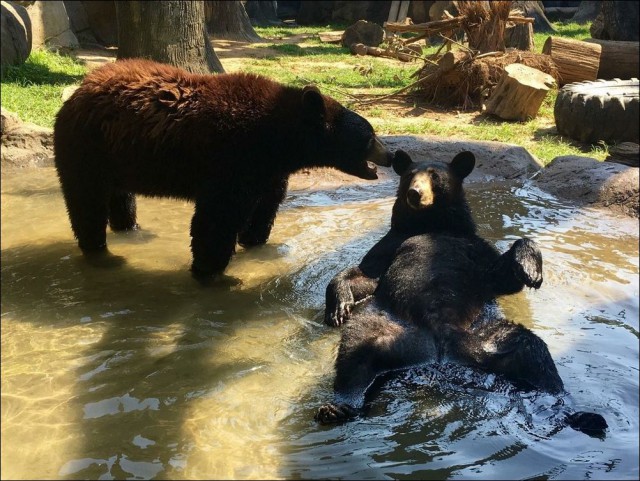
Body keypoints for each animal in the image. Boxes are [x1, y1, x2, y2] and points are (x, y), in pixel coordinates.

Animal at [52, 59, 392, 278]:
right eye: (370, 135)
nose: (390, 155)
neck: (279, 138)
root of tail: (76, 91)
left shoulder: (267, 169)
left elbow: (264, 206)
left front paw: (253, 242)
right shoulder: (232, 156)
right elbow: (218, 216)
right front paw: (210, 270)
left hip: (117, 155)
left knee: (120, 197)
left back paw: (132, 229)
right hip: (85, 149)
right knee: (86, 203)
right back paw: (101, 253)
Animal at [318, 152, 608, 436]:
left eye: (435, 176)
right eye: (410, 175)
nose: (414, 193)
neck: (432, 225)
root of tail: (440, 352)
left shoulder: (472, 249)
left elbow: (500, 277)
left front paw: (530, 270)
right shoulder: (392, 244)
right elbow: (366, 274)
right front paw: (339, 306)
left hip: (489, 336)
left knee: (536, 357)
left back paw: (580, 414)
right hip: (387, 328)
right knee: (354, 357)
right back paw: (339, 406)